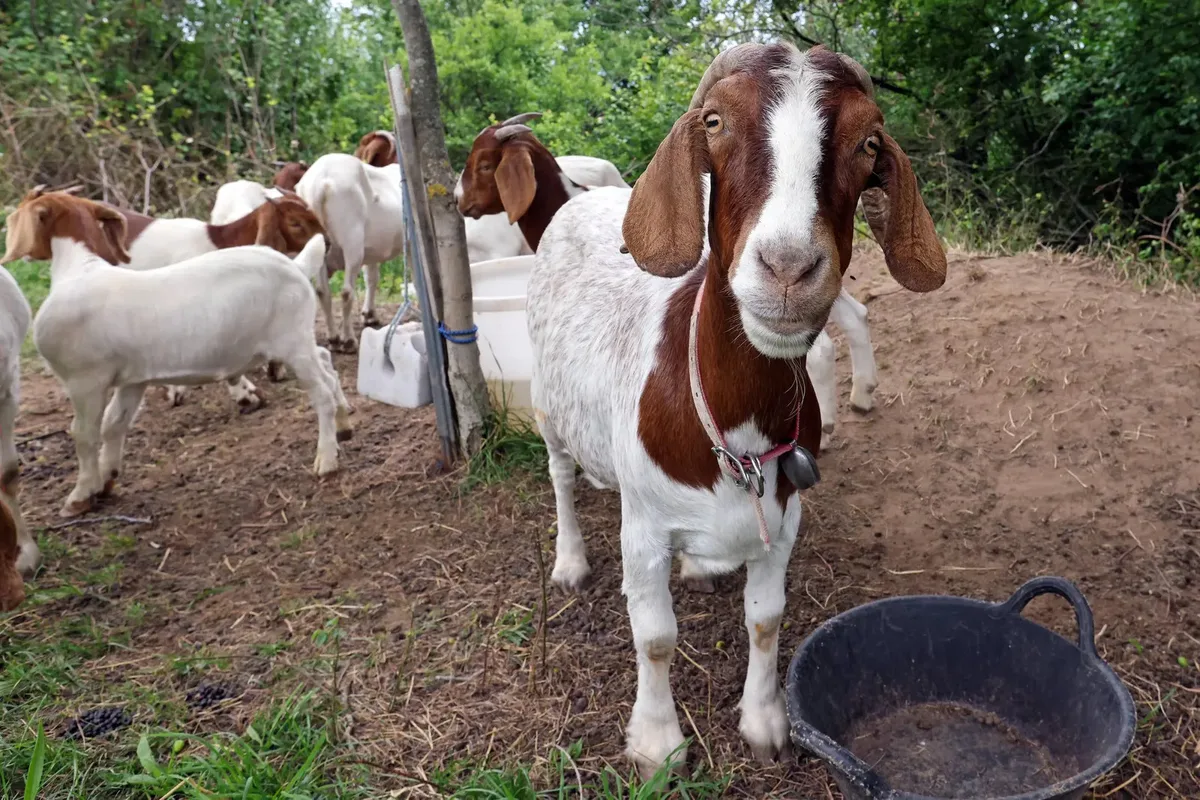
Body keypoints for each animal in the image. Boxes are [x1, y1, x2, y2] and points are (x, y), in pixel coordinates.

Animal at [293, 153, 405, 351]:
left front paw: (369, 315)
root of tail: (321, 182)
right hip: (352, 240)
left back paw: (333, 338)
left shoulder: (371, 251)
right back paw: (348, 340)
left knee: (322, 291)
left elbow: (371, 278)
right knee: (346, 292)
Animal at [526, 43, 946, 776]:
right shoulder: (642, 529)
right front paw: (658, 743)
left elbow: (766, 619)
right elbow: (656, 636)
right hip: (548, 408)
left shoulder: (783, 521)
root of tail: (587, 199)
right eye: (715, 122)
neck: (733, 427)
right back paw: (571, 561)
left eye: (869, 143)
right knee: (561, 478)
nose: (789, 267)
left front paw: (764, 721)